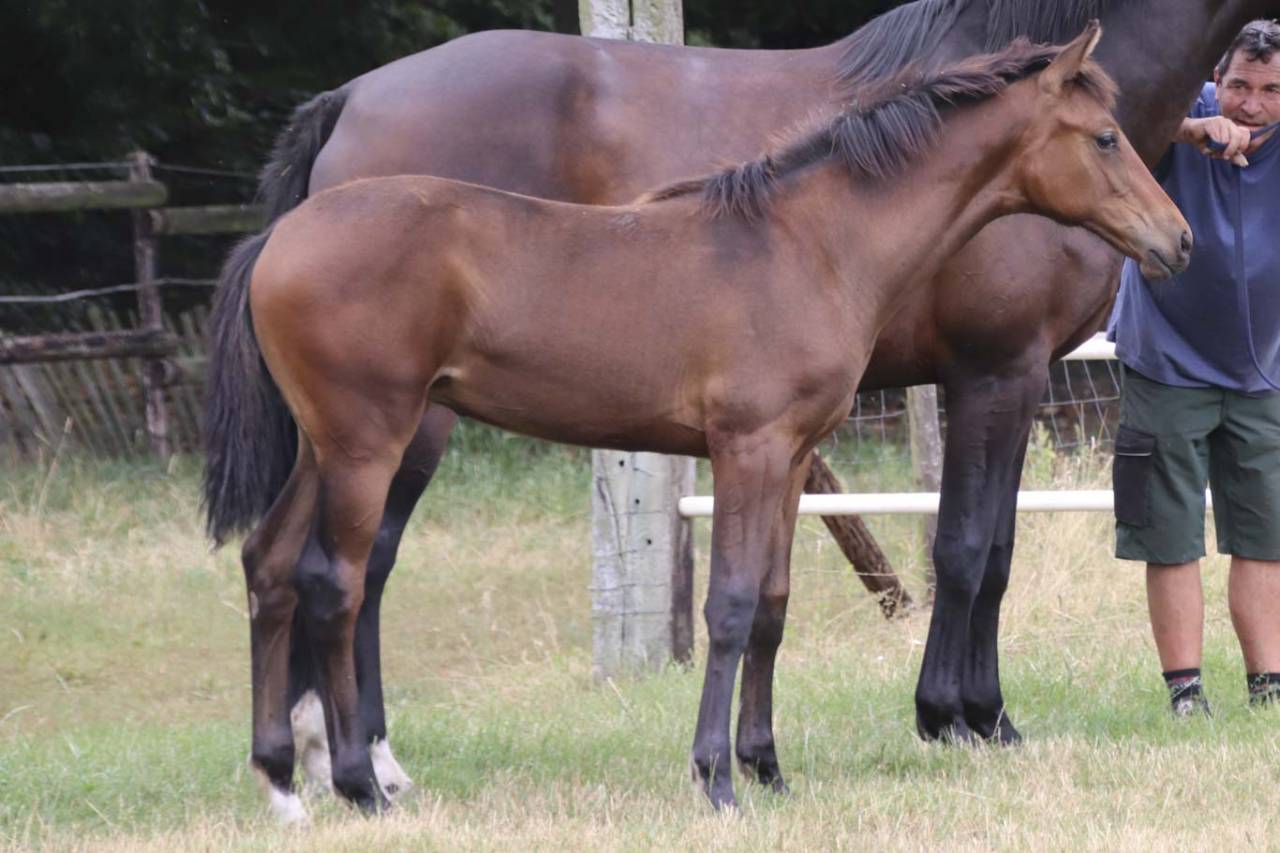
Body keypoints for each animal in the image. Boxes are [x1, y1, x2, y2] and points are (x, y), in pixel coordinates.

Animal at [203, 0, 1276, 804]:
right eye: (1102, 136)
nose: (1177, 239)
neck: (806, 237)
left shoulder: (799, 450)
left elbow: (775, 602)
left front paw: (771, 766)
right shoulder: (948, 385)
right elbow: (901, 565)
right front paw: (932, 726)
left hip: (328, 443)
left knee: (273, 564)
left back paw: (289, 779)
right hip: (381, 435)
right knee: (345, 577)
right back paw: (360, 776)